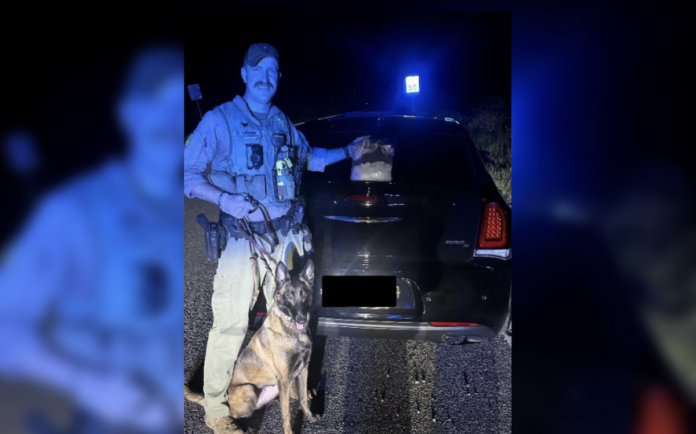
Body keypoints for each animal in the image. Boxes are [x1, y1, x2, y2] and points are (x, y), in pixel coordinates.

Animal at [185, 259, 319, 434]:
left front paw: (309, 415)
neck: (293, 332)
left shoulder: (302, 371)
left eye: (304, 294)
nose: (301, 319)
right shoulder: (284, 379)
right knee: (235, 413)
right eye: (289, 295)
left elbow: (302, 398)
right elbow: (286, 414)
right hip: (249, 390)